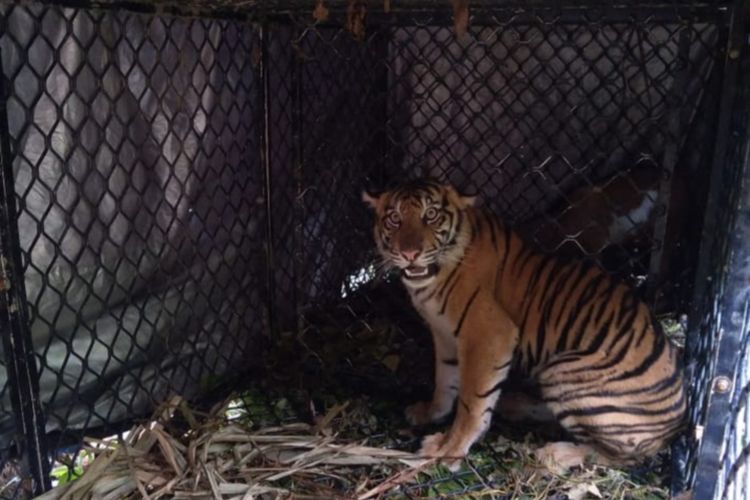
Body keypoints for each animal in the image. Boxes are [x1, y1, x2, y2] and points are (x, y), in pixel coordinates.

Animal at [362, 178, 688, 470]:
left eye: (430, 215)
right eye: (394, 219)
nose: (409, 254)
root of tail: (678, 424)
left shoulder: (488, 334)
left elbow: (471, 401)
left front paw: (449, 449)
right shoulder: (443, 334)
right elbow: (444, 380)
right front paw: (430, 413)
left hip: (565, 370)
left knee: (624, 456)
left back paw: (558, 454)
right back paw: (514, 404)